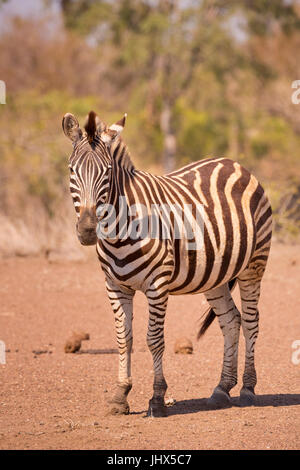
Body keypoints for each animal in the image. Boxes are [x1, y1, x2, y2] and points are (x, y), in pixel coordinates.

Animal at [62, 111, 272, 418]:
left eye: (107, 173)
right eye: (72, 171)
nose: (88, 231)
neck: (120, 230)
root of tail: (234, 164)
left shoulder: (157, 286)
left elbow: (154, 339)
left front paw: (157, 399)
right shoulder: (115, 286)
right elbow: (124, 338)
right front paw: (120, 396)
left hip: (253, 266)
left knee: (251, 322)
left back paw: (247, 389)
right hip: (215, 275)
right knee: (231, 321)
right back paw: (222, 389)